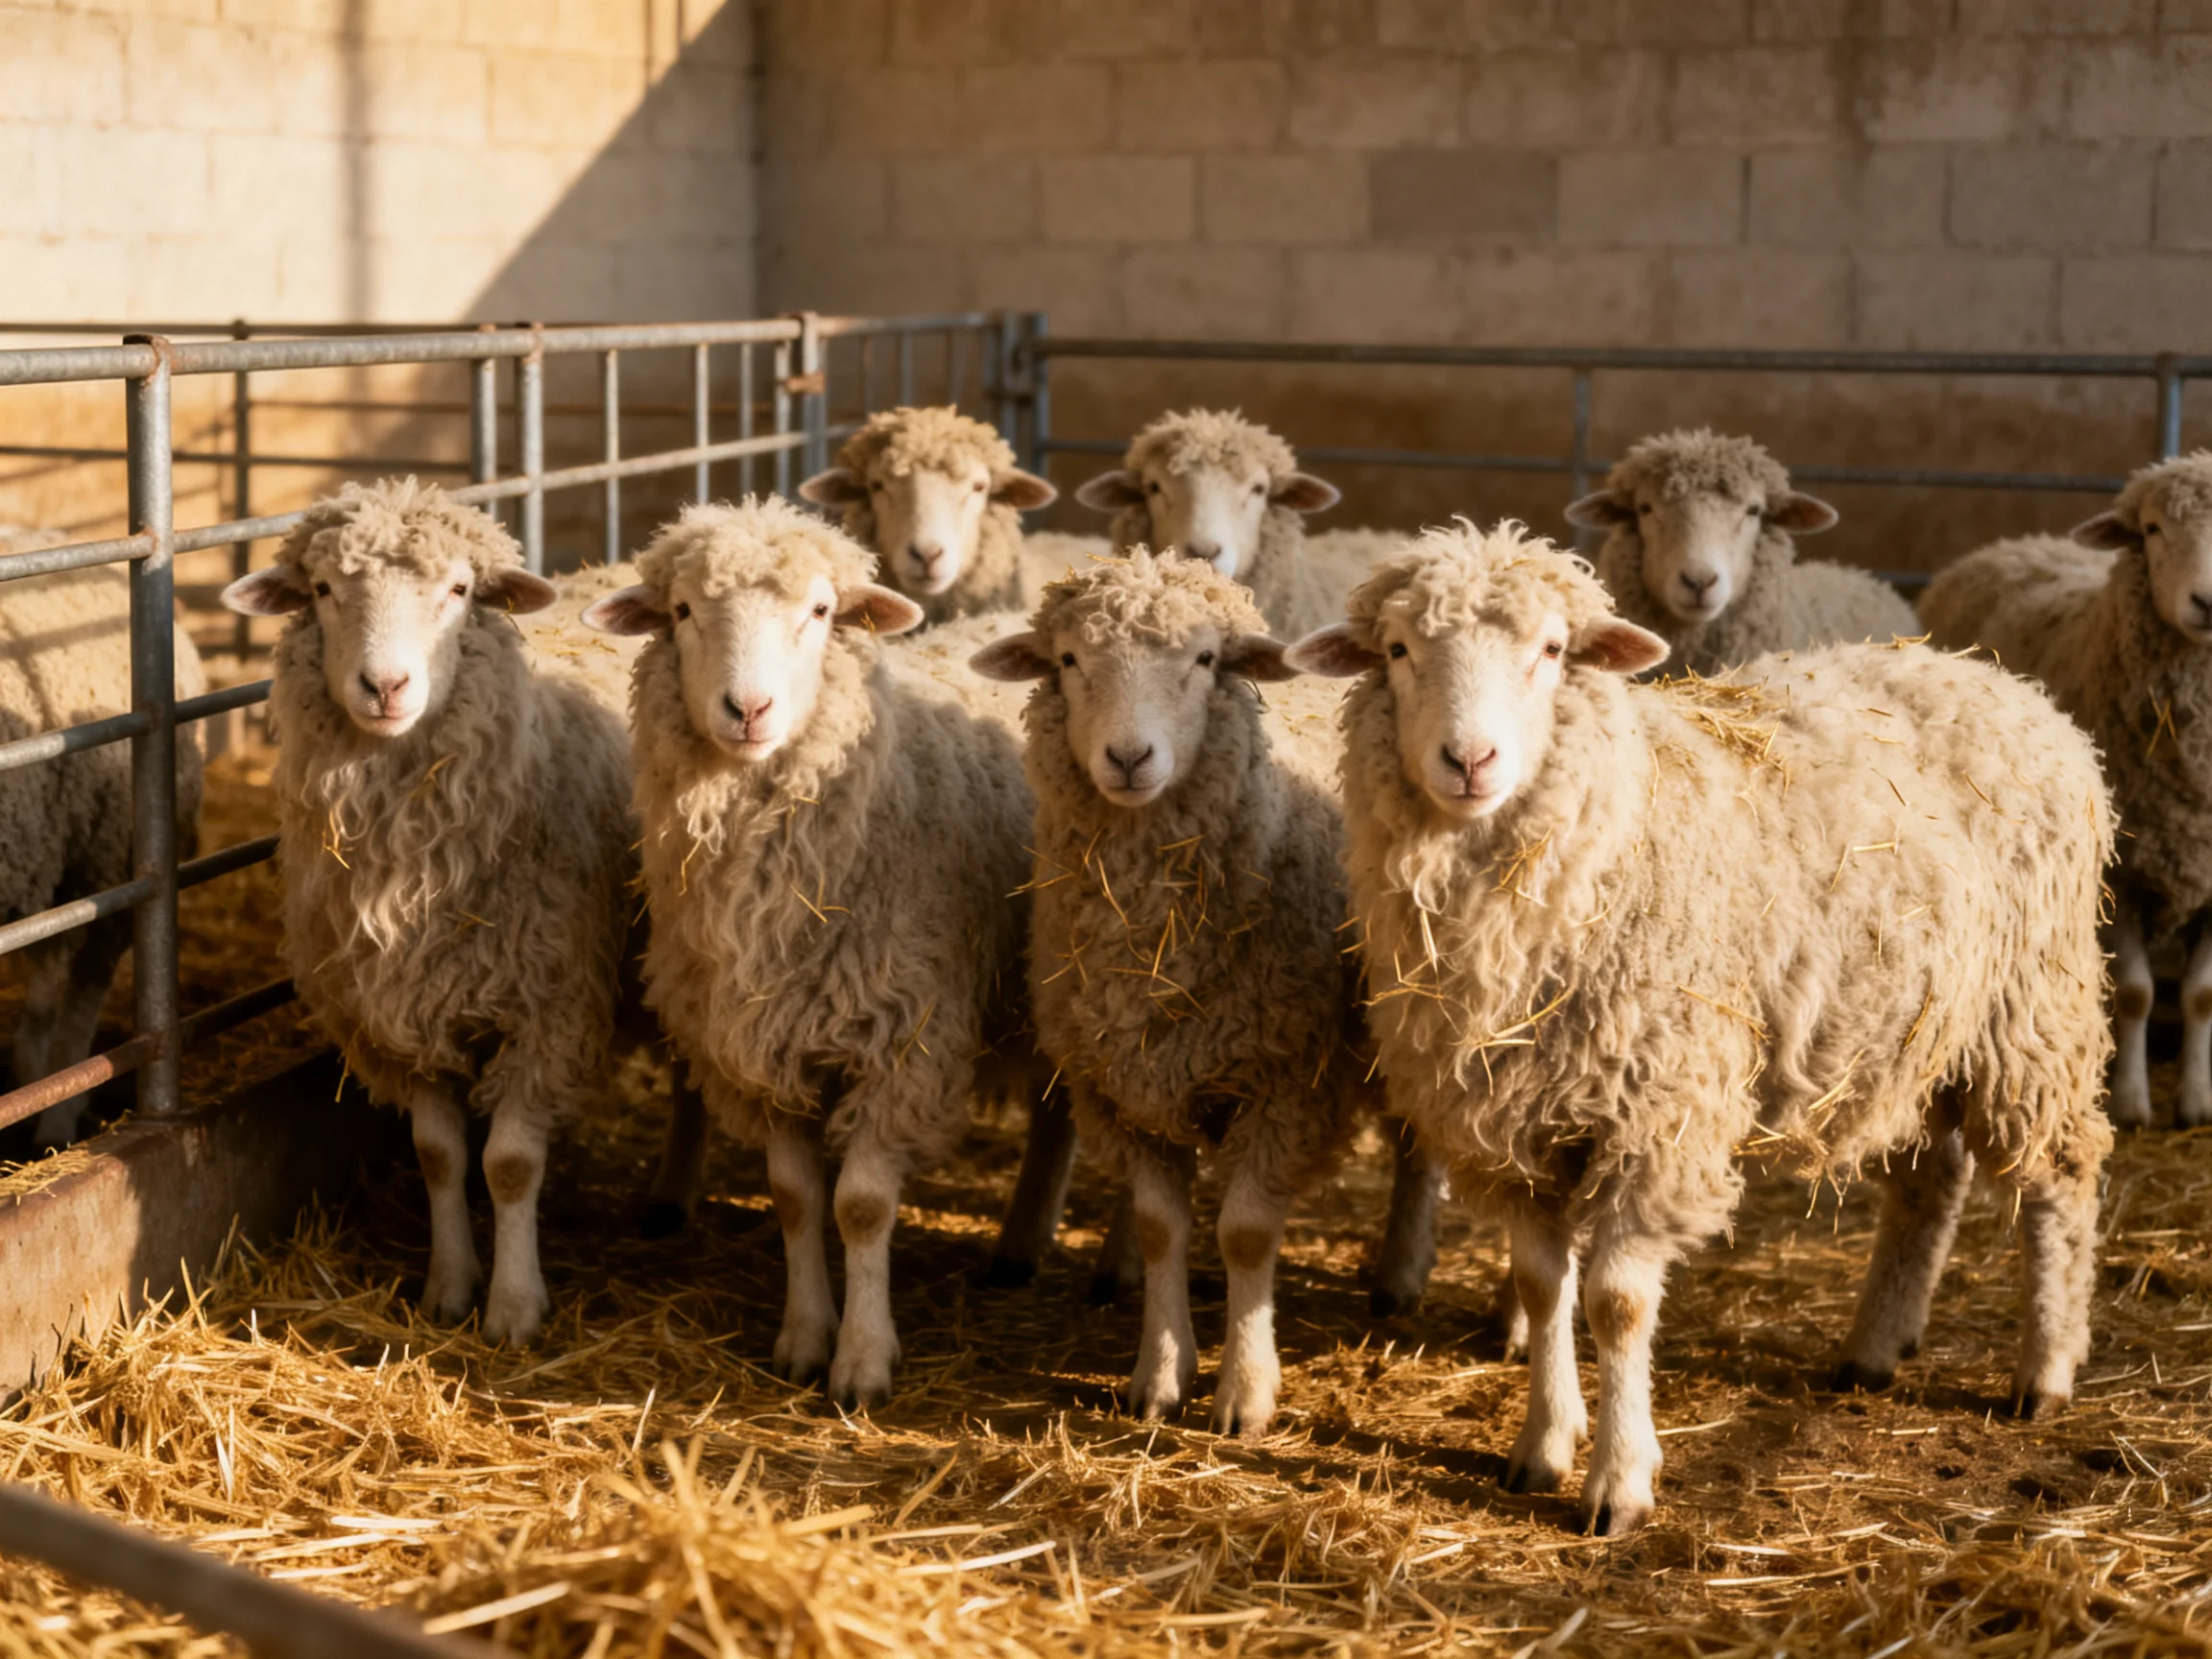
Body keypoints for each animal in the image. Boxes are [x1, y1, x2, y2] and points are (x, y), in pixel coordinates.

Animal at [220, 479, 638, 1346]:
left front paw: (512, 1310)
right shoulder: (396, 1019)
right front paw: (448, 1288)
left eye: (459, 590)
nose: (385, 687)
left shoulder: (548, 1012)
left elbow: (509, 1165)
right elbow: (440, 1155)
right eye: (322, 590)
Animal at [582, 496, 1049, 1409]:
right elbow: (796, 1199)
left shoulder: (902, 1042)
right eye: (683, 610)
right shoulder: (761, 1047)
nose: (748, 709)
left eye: (824, 611)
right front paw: (803, 1339)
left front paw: (863, 1362)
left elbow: (861, 1206)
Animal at [971, 550, 1415, 1437]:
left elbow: (1243, 1234)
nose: (1129, 758)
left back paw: (1403, 1279)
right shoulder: (1119, 1088)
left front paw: (1244, 1393)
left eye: (1206, 660)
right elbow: (1159, 1229)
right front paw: (1159, 1375)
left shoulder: (1288, 1082)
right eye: (1068, 660)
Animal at [1290, 521, 2113, 1534]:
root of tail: (1999, 680)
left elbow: (1615, 1303)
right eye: (1400, 651)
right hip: (1918, 1025)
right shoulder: (1515, 1125)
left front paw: (1618, 1483)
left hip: (2033, 1008)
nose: (1469, 761)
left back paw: (2047, 1370)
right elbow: (1541, 1284)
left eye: (1553, 651)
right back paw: (1875, 1347)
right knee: (1931, 1181)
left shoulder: (1655, 1116)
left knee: (2062, 1177)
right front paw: (1541, 1447)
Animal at [1918, 453, 2212, 1129]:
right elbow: (2135, 995)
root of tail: (2017, 541)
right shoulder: (2123, 873)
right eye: (2152, 530)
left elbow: (2201, 997)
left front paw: (2196, 1101)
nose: (2208, 602)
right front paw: (2131, 1103)